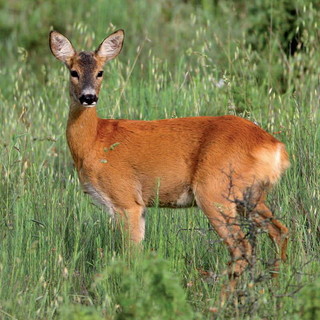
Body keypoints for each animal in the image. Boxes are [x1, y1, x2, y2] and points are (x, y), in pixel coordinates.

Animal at [48, 30, 290, 288]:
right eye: (73, 71)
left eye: (100, 72)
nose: (88, 97)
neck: (95, 141)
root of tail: (275, 147)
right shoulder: (139, 206)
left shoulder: (126, 200)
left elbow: (131, 256)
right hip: (251, 196)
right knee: (280, 230)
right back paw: (274, 287)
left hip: (215, 191)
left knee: (242, 247)